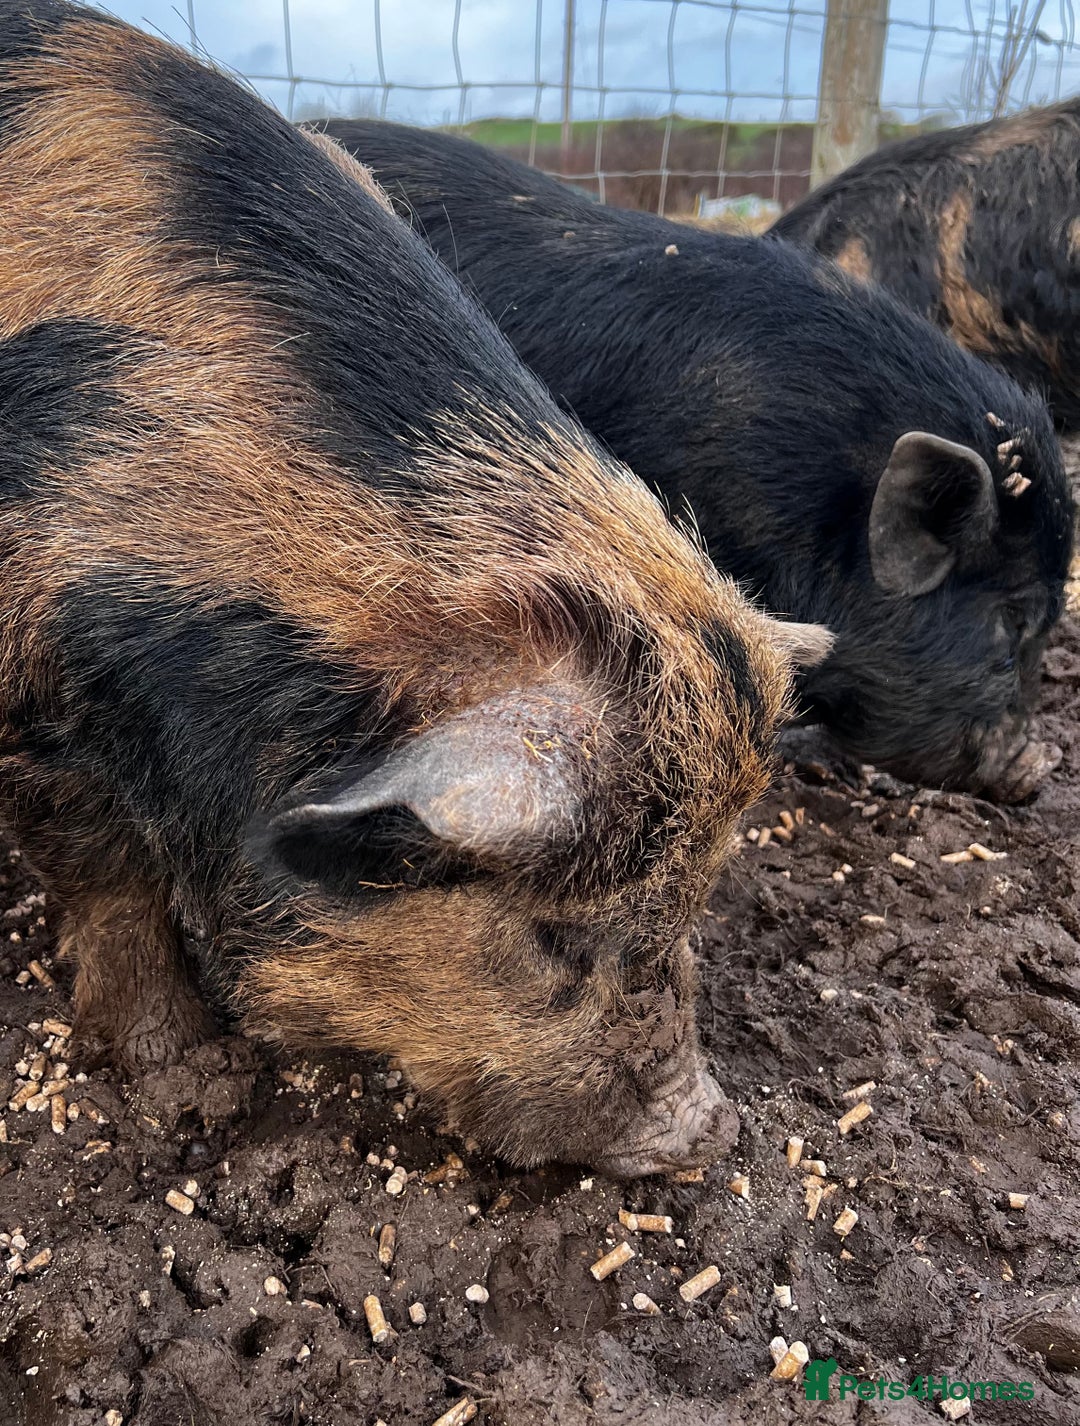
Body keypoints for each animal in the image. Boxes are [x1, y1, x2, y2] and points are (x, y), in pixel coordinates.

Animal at [0, 0, 817, 1177]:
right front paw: (190, 1085)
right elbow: (110, 884)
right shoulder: (44, 690)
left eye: (698, 897)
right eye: (555, 931)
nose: (707, 1130)